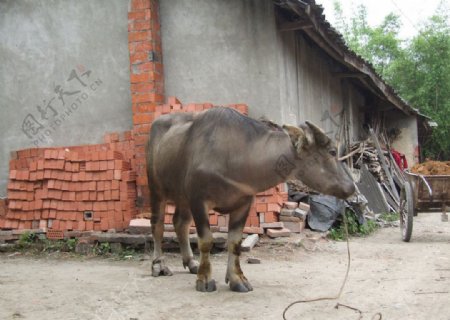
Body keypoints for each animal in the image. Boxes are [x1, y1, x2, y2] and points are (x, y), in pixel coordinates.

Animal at [148, 107, 356, 292]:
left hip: (182, 197)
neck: (235, 155)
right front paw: (205, 279)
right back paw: (159, 265)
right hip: (156, 190)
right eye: (332, 152)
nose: (352, 187)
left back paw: (191, 263)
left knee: (180, 223)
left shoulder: (243, 203)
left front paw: (237, 279)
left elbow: (235, 242)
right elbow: (206, 240)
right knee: (158, 225)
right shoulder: (199, 200)